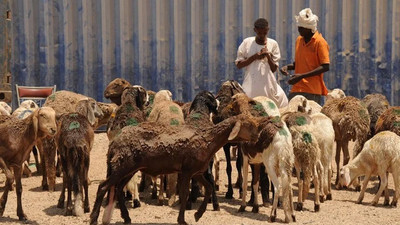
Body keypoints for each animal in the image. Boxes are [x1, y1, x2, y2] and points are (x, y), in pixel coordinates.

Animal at [89, 114, 260, 225]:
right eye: (248, 125)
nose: (258, 137)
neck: (209, 141)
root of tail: (115, 141)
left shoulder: (196, 172)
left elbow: (209, 188)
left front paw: (198, 214)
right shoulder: (186, 171)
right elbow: (184, 194)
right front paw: (182, 220)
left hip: (129, 168)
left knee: (118, 189)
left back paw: (126, 218)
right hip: (123, 165)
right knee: (103, 186)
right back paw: (94, 218)